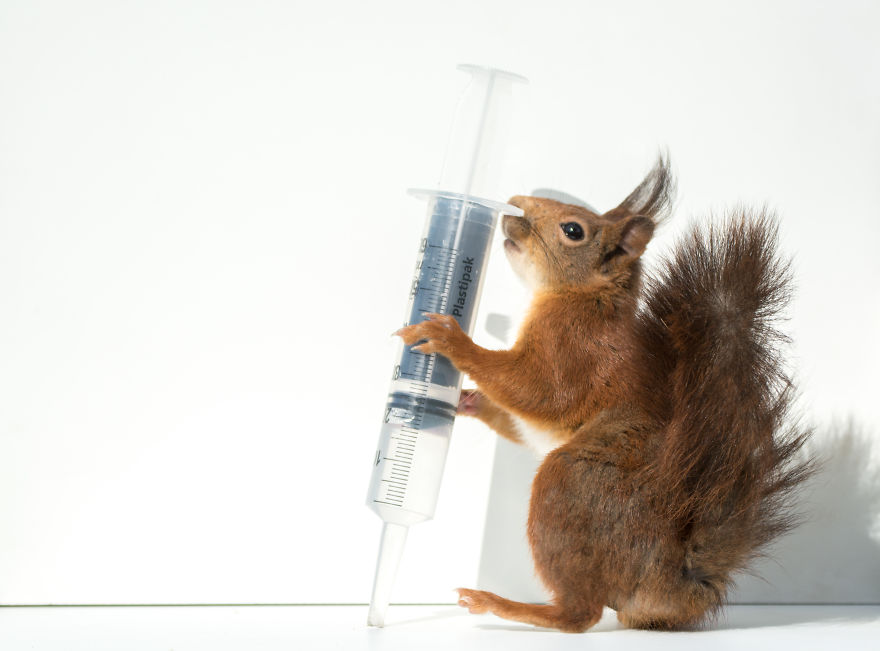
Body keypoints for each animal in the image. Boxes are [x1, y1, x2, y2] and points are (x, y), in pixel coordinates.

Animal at [396, 157, 816, 632]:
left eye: (573, 230)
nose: (514, 204)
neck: (582, 297)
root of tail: (672, 586)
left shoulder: (573, 351)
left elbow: (535, 392)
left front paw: (452, 341)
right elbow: (517, 418)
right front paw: (467, 399)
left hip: (572, 481)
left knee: (579, 614)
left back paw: (503, 604)